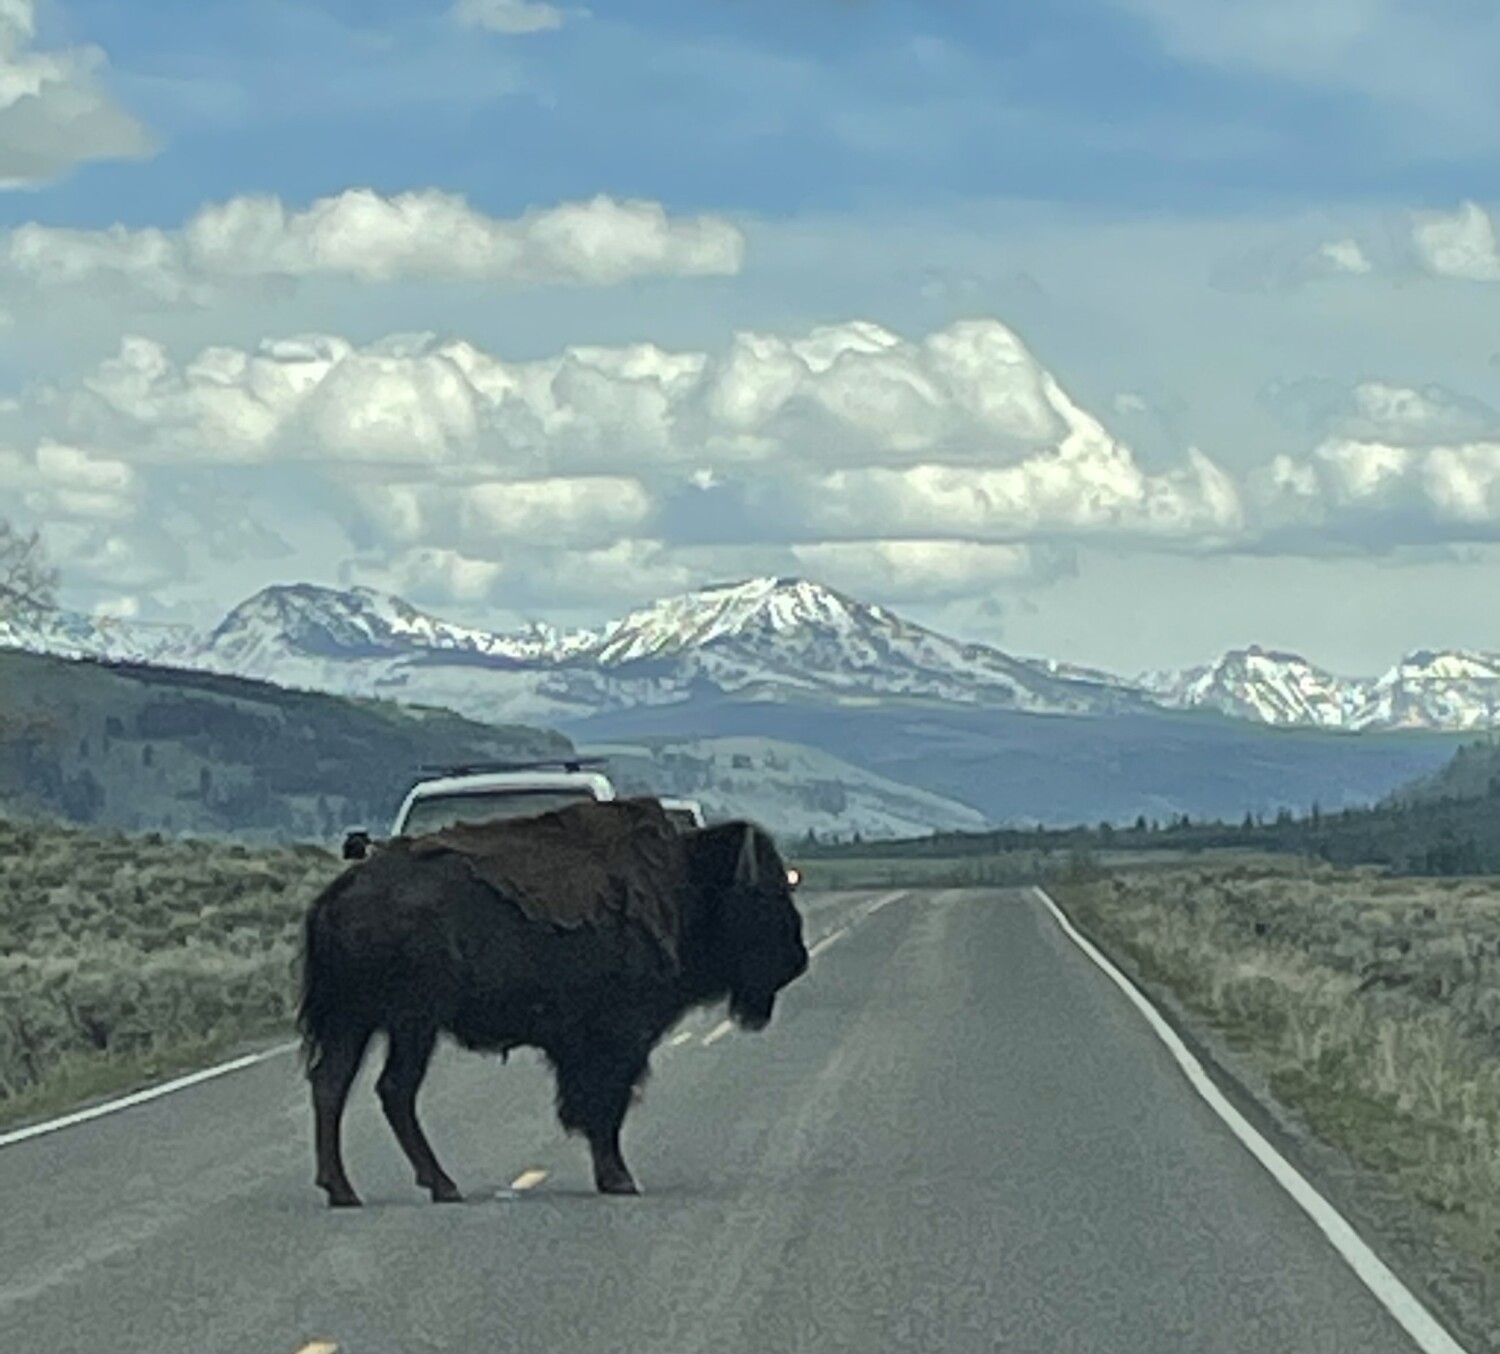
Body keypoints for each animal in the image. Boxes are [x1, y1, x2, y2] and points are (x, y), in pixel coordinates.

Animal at [296, 797, 809, 1207]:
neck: (688, 881)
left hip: (357, 1021)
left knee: (333, 1083)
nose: (797, 960)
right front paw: (620, 1179)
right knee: (393, 1089)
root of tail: (338, 894)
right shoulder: (617, 1036)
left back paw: (345, 1190)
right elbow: (604, 1105)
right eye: (763, 893)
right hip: (411, 1023)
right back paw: (440, 1186)